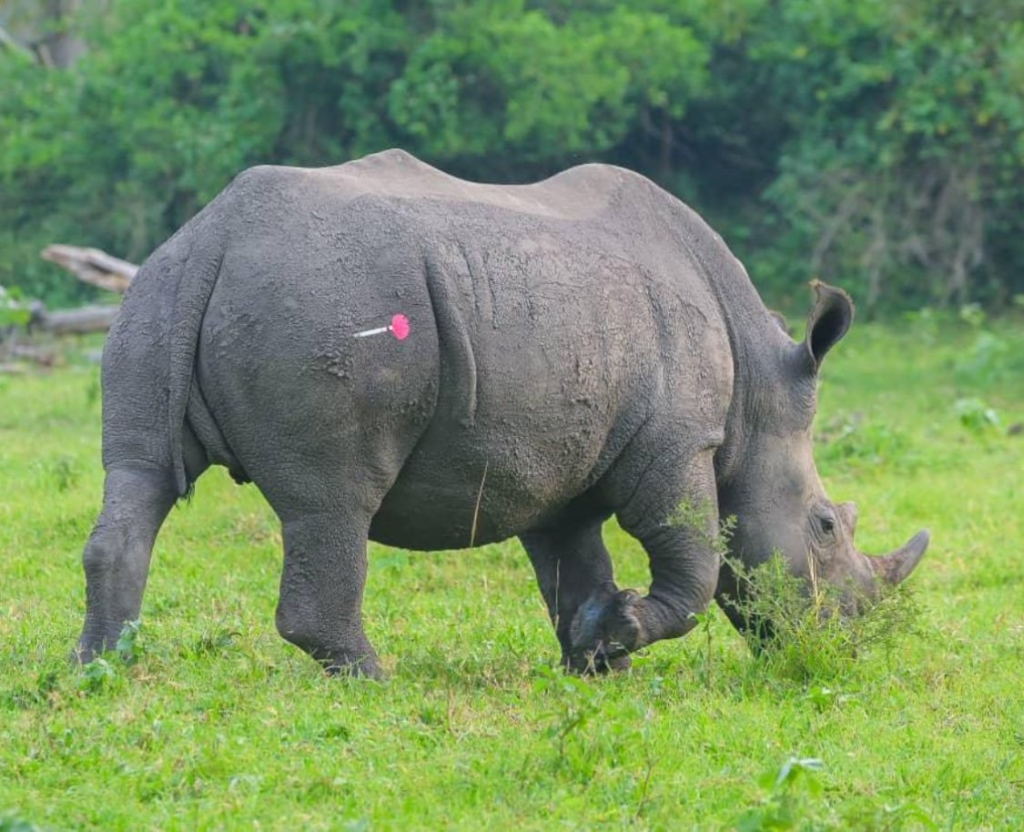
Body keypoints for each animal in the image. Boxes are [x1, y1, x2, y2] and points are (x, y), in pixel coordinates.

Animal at [76, 149, 928, 676]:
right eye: (826, 527)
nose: (843, 649)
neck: (756, 401)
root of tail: (214, 237)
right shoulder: (679, 442)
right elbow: (694, 560)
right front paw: (622, 635)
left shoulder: (560, 456)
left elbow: (574, 563)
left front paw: (599, 655)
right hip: (326, 303)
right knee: (336, 501)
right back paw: (373, 679)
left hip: (154, 295)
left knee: (141, 476)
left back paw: (102, 670)